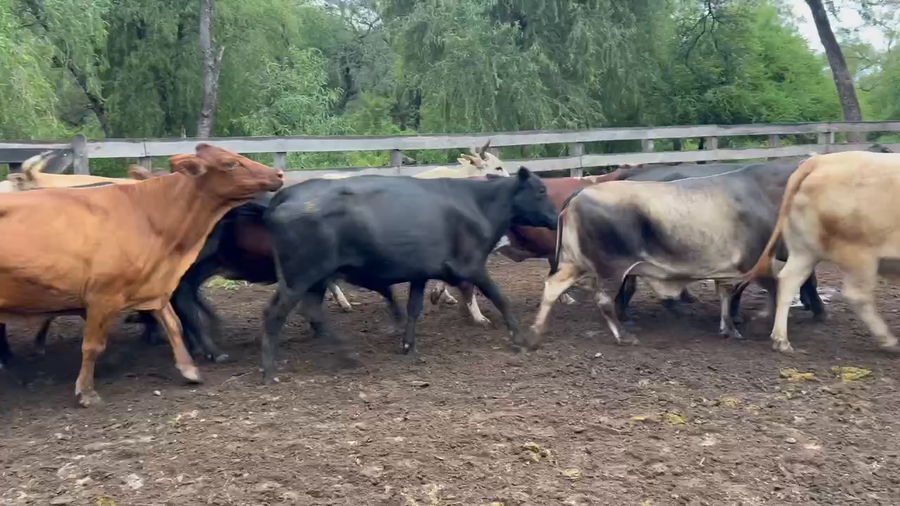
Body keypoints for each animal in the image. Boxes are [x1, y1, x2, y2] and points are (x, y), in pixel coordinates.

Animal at [0, 144, 283, 406]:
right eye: (230, 163)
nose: (279, 174)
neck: (147, 211)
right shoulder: (103, 295)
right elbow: (92, 345)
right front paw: (87, 391)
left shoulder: (153, 282)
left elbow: (173, 324)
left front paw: (189, 370)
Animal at [259, 167, 558, 383]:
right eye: (541, 190)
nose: (556, 218)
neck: (476, 204)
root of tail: (288, 194)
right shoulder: (471, 266)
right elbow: (500, 298)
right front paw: (520, 339)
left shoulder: (420, 273)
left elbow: (414, 309)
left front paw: (407, 344)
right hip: (302, 276)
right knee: (277, 314)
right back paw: (269, 370)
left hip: (308, 279)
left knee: (308, 311)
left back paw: (345, 354)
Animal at [738, 151, 900, 353]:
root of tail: (819, 160)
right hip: (859, 254)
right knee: (857, 294)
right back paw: (888, 341)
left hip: (804, 251)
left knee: (789, 281)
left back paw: (781, 340)